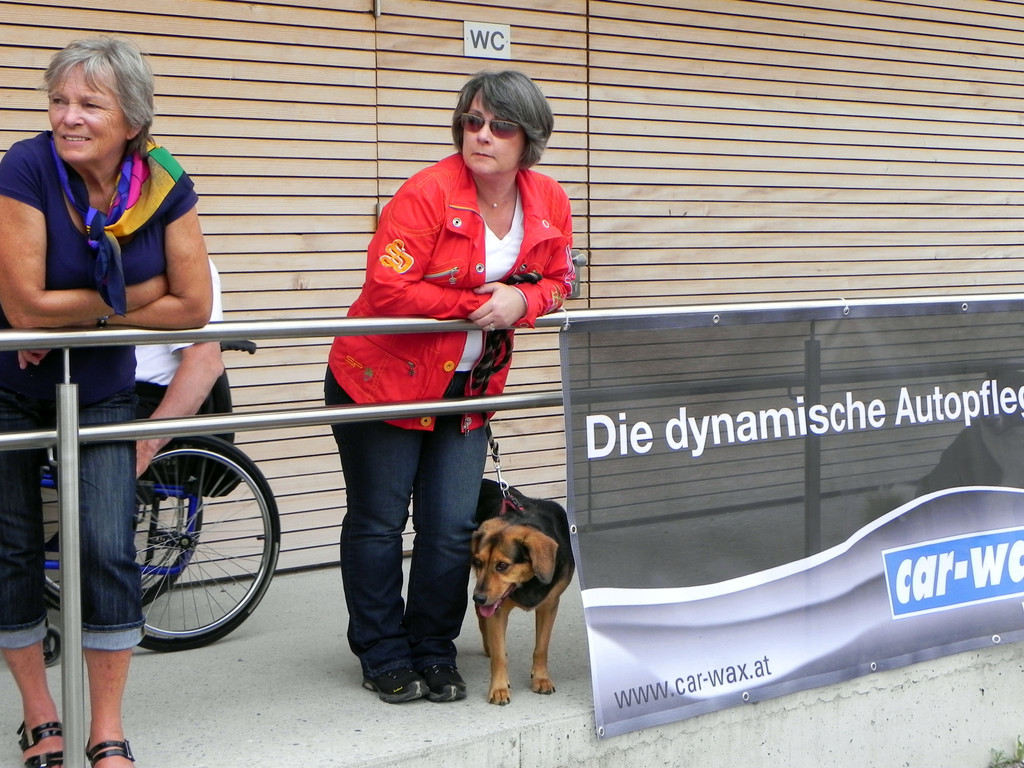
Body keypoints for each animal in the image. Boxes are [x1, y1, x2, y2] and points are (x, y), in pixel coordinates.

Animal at [470, 478, 575, 705]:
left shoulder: (549, 605)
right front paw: (499, 689)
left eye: (502, 565)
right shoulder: (497, 610)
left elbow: (541, 647)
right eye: (478, 562)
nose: (479, 597)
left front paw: (541, 679)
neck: (528, 582)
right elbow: (500, 656)